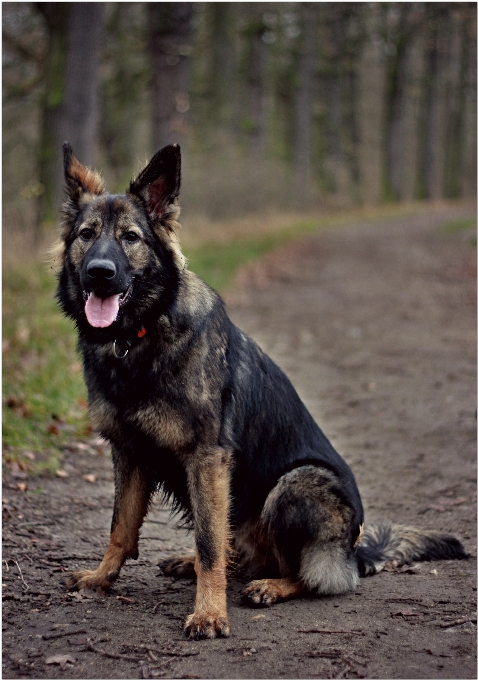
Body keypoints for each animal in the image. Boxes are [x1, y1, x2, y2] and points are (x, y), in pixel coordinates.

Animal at [55, 142, 466, 636]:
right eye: (87, 234)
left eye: (130, 238)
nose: (99, 272)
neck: (140, 336)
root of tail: (355, 552)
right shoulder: (130, 452)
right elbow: (121, 527)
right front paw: (102, 577)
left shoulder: (207, 457)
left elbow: (210, 544)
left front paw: (209, 612)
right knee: (239, 553)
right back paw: (193, 564)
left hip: (296, 485)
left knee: (311, 576)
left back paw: (271, 585)